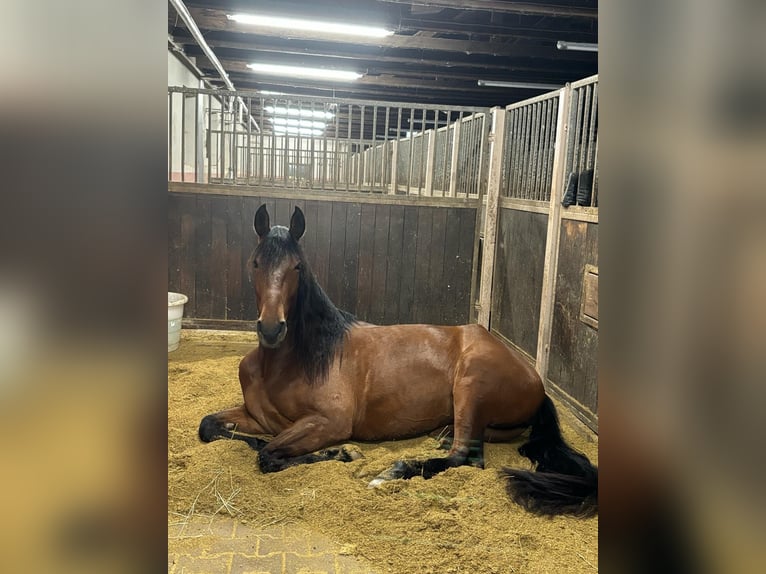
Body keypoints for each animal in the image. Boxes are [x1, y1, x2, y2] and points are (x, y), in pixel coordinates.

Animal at [200, 206, 600, 516]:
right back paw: (440, 435)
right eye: (255, 263)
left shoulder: (328, 422)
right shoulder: (256, 416)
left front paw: (345, 454)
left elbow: (268, 454)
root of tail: (534, 377)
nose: (271, 328)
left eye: (297, 267)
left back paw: (389, 474)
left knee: (465, 458)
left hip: (471, 385)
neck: (295, 362)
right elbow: (212, 428)